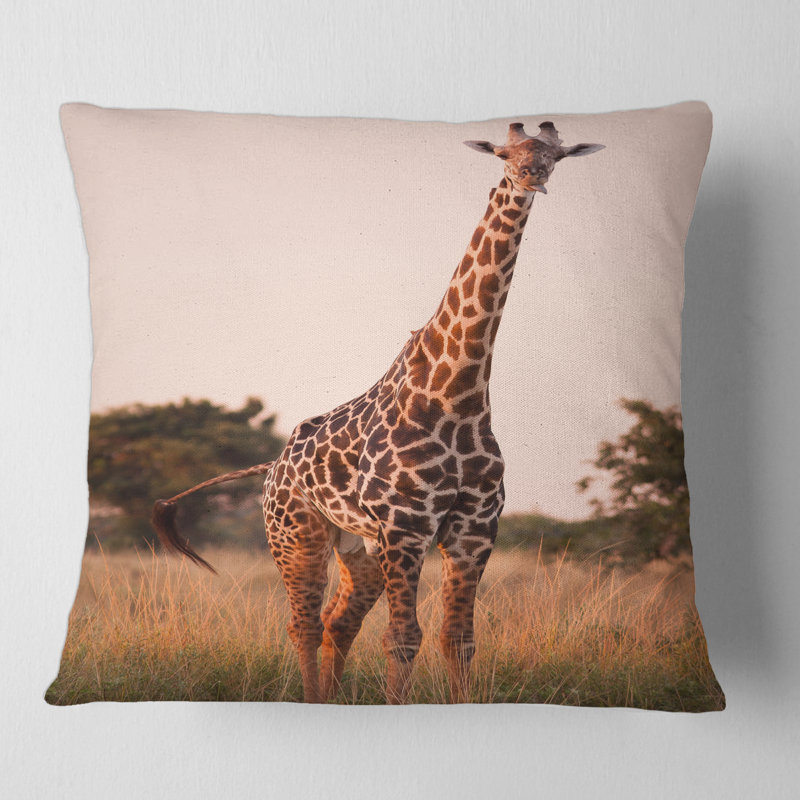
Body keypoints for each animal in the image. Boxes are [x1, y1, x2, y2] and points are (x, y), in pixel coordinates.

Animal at [152, 122, 604, 703]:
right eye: (504, 154)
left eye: (556, 155)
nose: (530, 175)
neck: (458, 397)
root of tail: (272, 468)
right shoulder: (405, 527)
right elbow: (403, 638)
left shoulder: (474, 528)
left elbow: (458, 639)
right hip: (297, 536)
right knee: (304, 623)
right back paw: (313, 699)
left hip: (358, 550)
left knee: (337, 621)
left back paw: (331, 699)